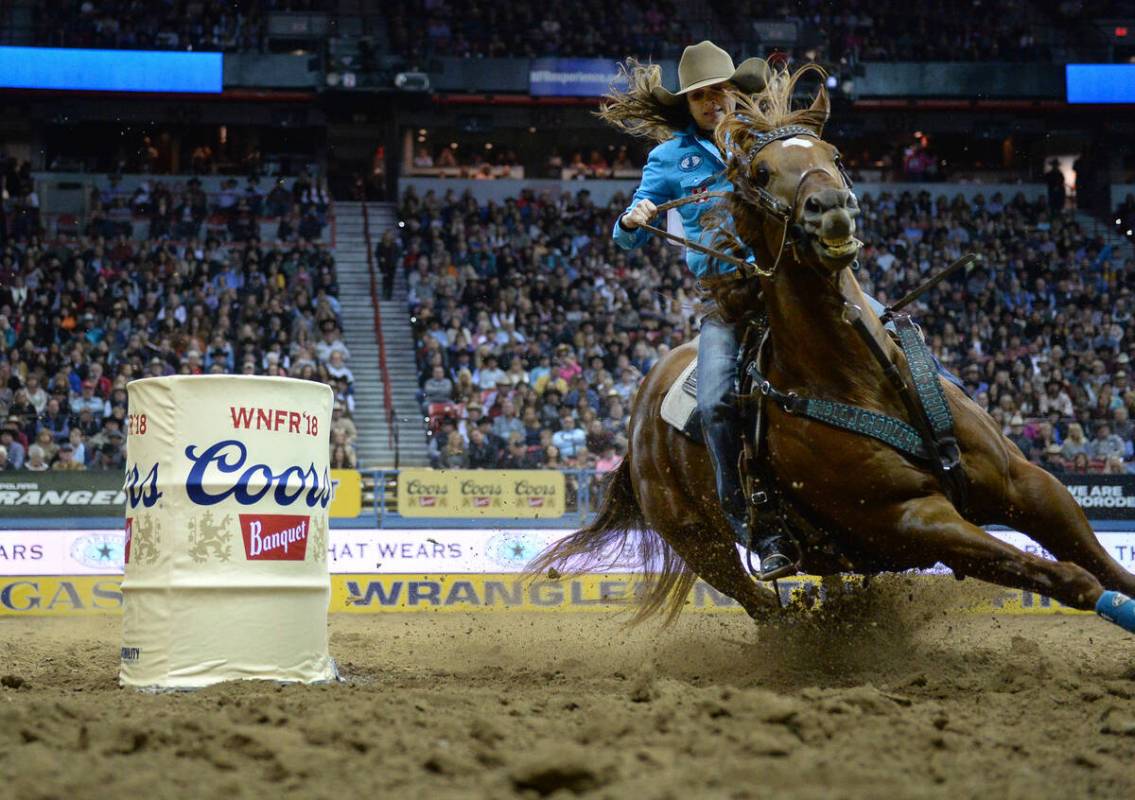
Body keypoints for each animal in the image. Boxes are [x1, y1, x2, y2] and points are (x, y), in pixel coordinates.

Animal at [524, 66, 1135, 630]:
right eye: (761, 172)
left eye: (834, 154)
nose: (831, 207)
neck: (864, 378)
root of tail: (638, 429)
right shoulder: (914, 521)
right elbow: (1071, 578)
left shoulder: (1026, 483)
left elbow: (1102, 561)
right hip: (704, 545)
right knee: (766, 611)